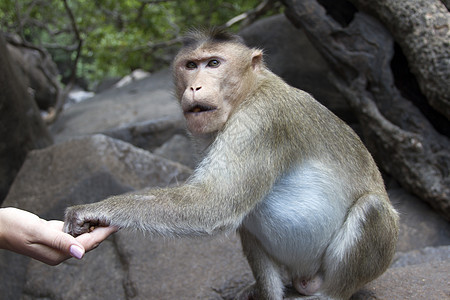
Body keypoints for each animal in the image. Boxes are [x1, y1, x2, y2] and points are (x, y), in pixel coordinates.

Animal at [63, 28, 398, 300]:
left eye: (213, 64)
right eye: (191, 65)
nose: (195, 87)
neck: (248, 91)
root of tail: (306, 278)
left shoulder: (262, 120)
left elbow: (213, 201)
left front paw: (95, 209)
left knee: (372, 209)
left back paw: (329, 293)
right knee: (248, 222)